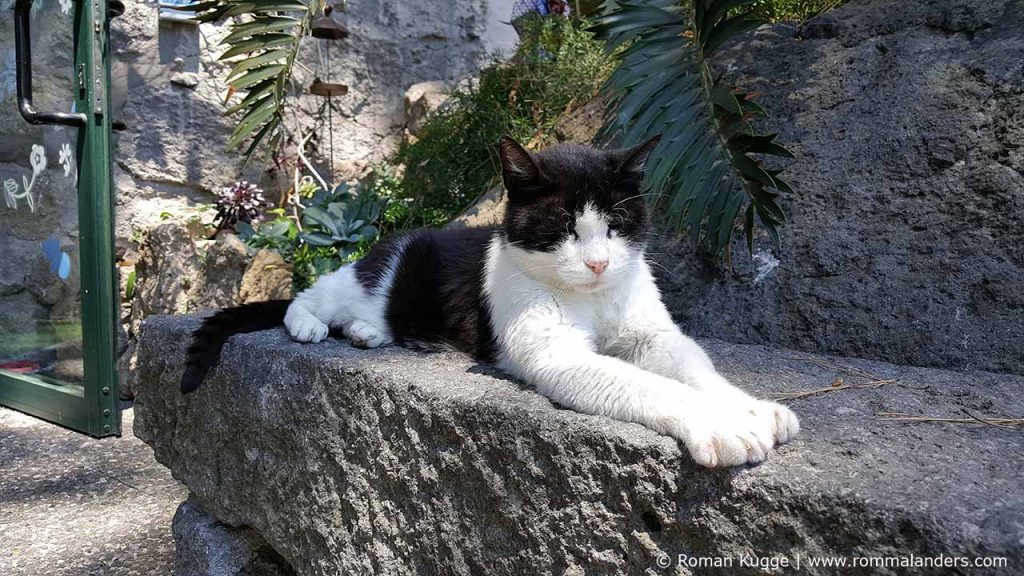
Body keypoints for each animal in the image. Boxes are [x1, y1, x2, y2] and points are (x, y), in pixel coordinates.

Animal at [184, 135, 798, 467]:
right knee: (310, 294)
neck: (594, 299)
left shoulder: (651, 334)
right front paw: (719, 424)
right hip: (363, 277)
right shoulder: (556, 355)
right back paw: (310, 326)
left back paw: (369, 334)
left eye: (617, 226)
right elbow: (648, 385)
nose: (599, 263)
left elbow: (693, 367)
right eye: (563, 229)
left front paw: (750, 406)